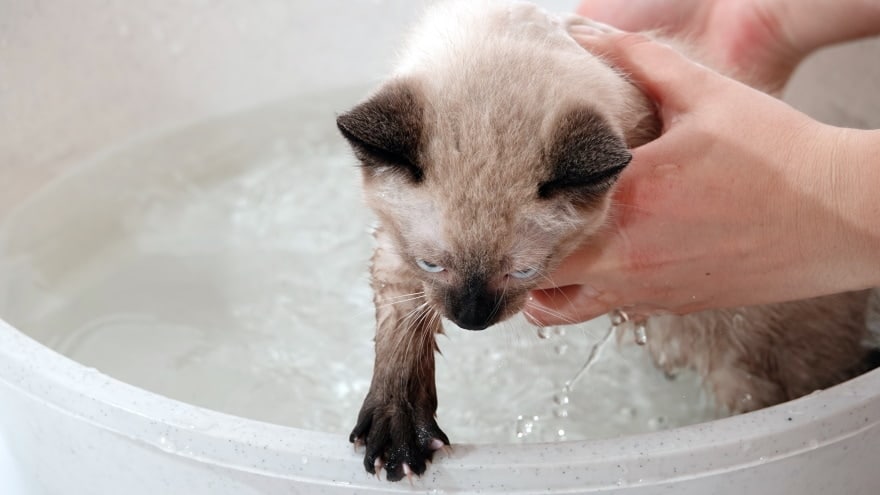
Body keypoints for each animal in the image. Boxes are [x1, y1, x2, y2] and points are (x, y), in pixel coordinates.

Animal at [336, 0, 872, 482]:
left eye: (523, 272)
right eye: (432, 264)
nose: (472, 320)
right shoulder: (399, 255)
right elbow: (401, 328)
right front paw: (398, 431)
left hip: (755, 369)